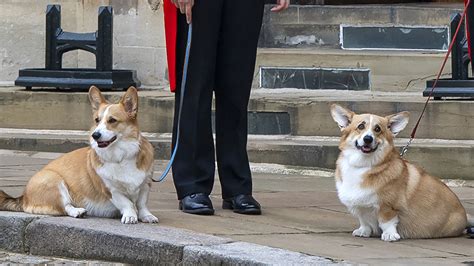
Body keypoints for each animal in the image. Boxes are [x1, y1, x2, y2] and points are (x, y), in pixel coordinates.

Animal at [0, 86, 159, 223]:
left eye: (112, 120)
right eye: (97, 120)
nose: (95, 135)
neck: (121, 156)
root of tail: (23, 197)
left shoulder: (145, 185)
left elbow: (142, 204)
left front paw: (147, 216)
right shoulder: (111, 190)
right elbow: (127, 203)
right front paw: (130, 216)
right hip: (55, 182)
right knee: (64, 207)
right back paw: (78, 211)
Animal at [332, 104, 472, 241]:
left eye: (377, 129)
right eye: (360, 126)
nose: (368, 139)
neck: (363, 165)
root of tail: (465, 215)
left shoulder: (388, 206)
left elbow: (386, 222)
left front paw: (390, 235)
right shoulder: (360, 207)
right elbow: (364, 221)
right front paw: (363, 231)